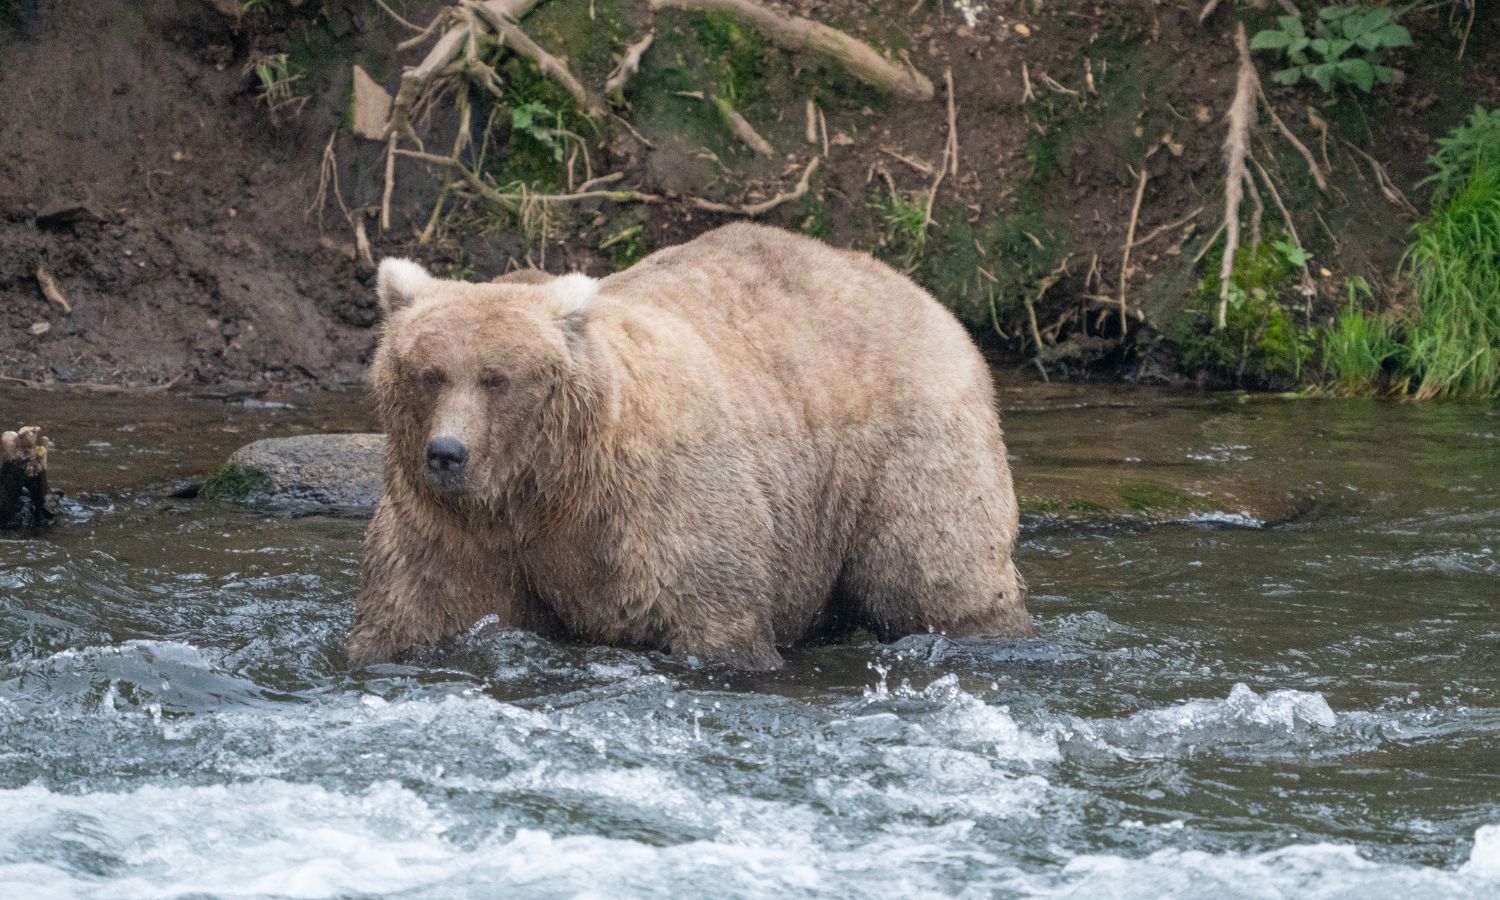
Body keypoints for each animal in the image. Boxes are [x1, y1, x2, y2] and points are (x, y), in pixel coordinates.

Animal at [347, 223, 1030, 669]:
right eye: (429, 373)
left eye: (497, 378)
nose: (447, 453)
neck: (547, 490)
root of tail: (917, 291)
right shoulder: (452, 532)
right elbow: (413, 612)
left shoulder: (657, 510)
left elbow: (712, 616)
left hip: (904, 448)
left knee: (935, 572)